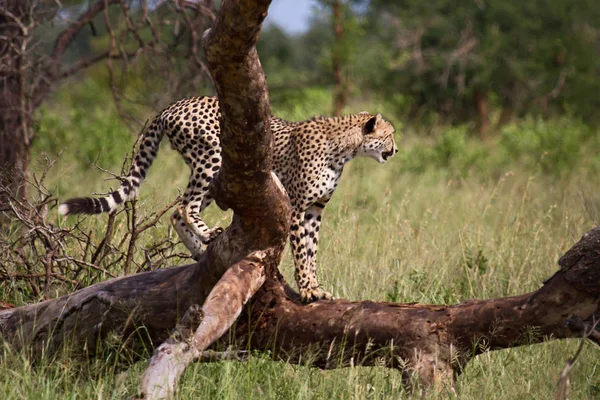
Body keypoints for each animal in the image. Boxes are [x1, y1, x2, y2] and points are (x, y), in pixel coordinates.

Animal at [59, 97, 398, 304]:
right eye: (390, 134)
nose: (395, 151)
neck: (346, 147)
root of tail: (175, 104)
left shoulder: (315, 209)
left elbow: (312, 251)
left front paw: (314, 287)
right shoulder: (298, 208)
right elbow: (302, 251)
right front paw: (307, 291)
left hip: (218, 175)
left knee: (178, 212)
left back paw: (201, 250)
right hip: (213, 158)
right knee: (185, 205)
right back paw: (207, 234)